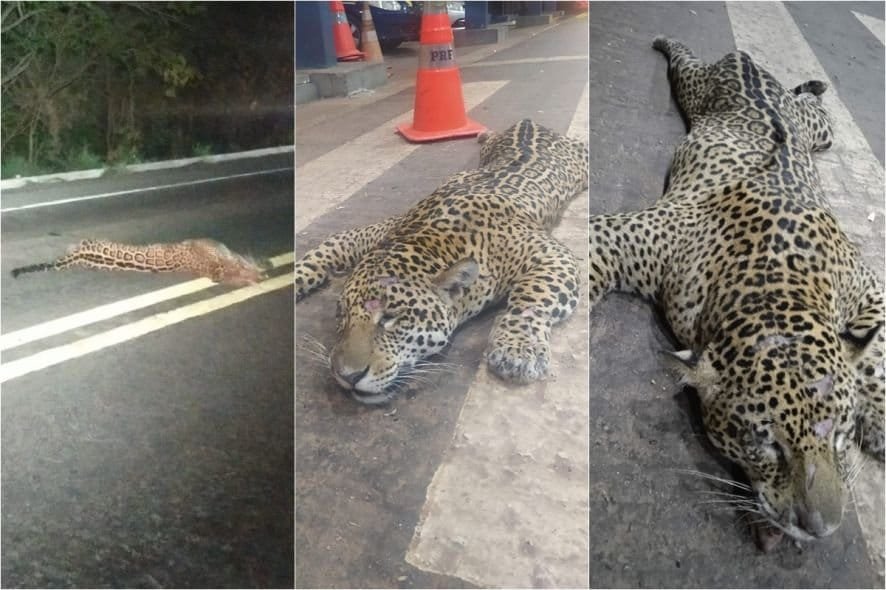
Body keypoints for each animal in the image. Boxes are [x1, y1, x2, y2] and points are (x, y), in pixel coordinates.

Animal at [296, 119, 588, 405]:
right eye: (342, 315)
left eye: (390, 318)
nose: (347, 376)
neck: (431, 239)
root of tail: (529, 122)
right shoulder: (388, 227)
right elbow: (333, 244)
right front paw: (297, 275)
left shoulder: (550, 253)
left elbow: (531, 298)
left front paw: (517, 348)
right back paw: (483, 133)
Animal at [589, 37, 884, 551]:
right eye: (765, 443)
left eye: (841, 434)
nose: (822, 528)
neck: (776, 284)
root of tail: (751, 64)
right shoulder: (629, 234)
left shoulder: (865, 283)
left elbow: (879, 347)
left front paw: (880, 417)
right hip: (696, 87)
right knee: (684, 60)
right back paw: (665, 42)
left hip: (817, 131)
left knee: (813, 110)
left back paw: (814, 85)